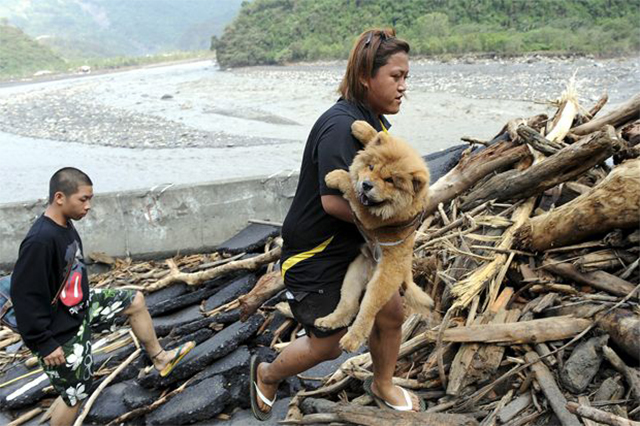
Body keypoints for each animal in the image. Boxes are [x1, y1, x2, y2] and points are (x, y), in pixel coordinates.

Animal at [316, 120, 436, 352]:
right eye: (371, 167)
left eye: (389, 180)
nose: (366, 184)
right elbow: (382, 138)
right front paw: (363, 128)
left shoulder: (369, 217)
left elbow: (352, 190)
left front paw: (337, 176)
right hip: (353, 274)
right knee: (348, 305)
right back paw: (328, 321)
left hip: (381, 284)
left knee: (366, 311)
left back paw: (352, 339)